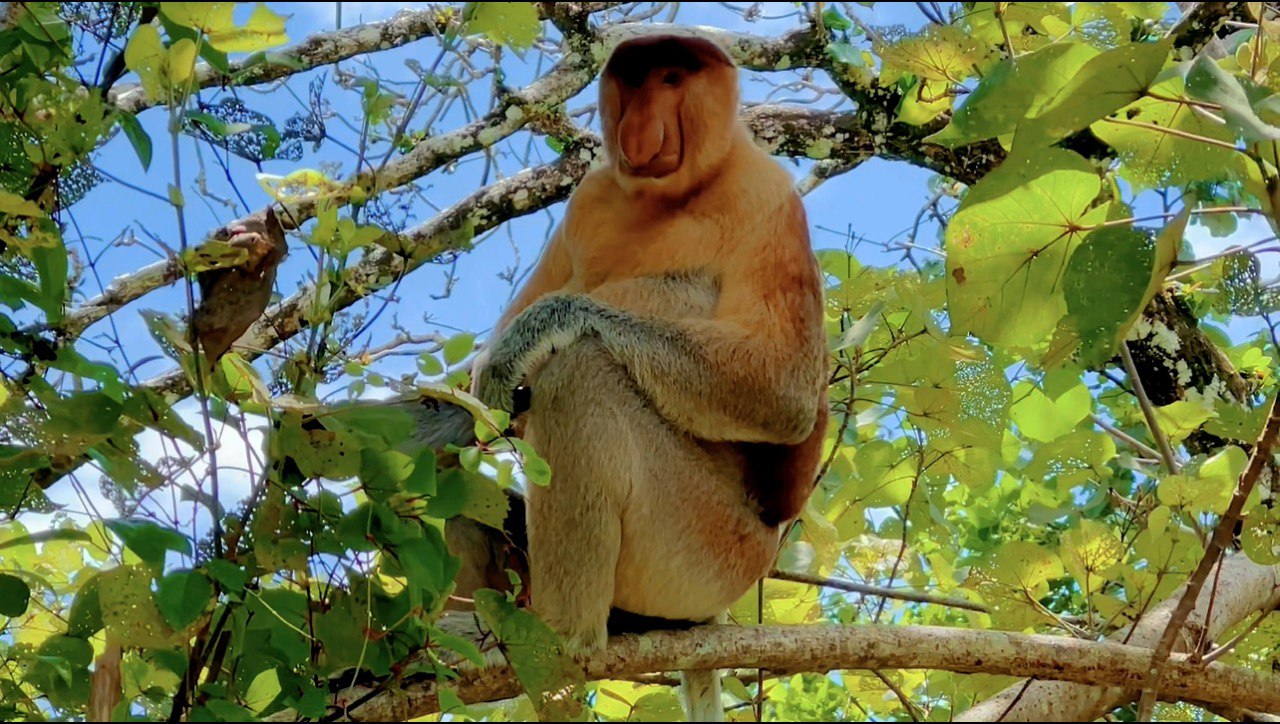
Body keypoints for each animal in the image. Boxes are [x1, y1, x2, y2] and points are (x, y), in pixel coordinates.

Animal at [467, 32, 829, 721]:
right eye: (631, 82)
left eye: (670, 78)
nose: (637, 131)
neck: (673, 196)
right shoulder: (589, 196)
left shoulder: (765, 196)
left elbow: (785, 397)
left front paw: (539, 333)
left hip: (704, 550)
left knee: (587, 372)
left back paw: (560, 639)